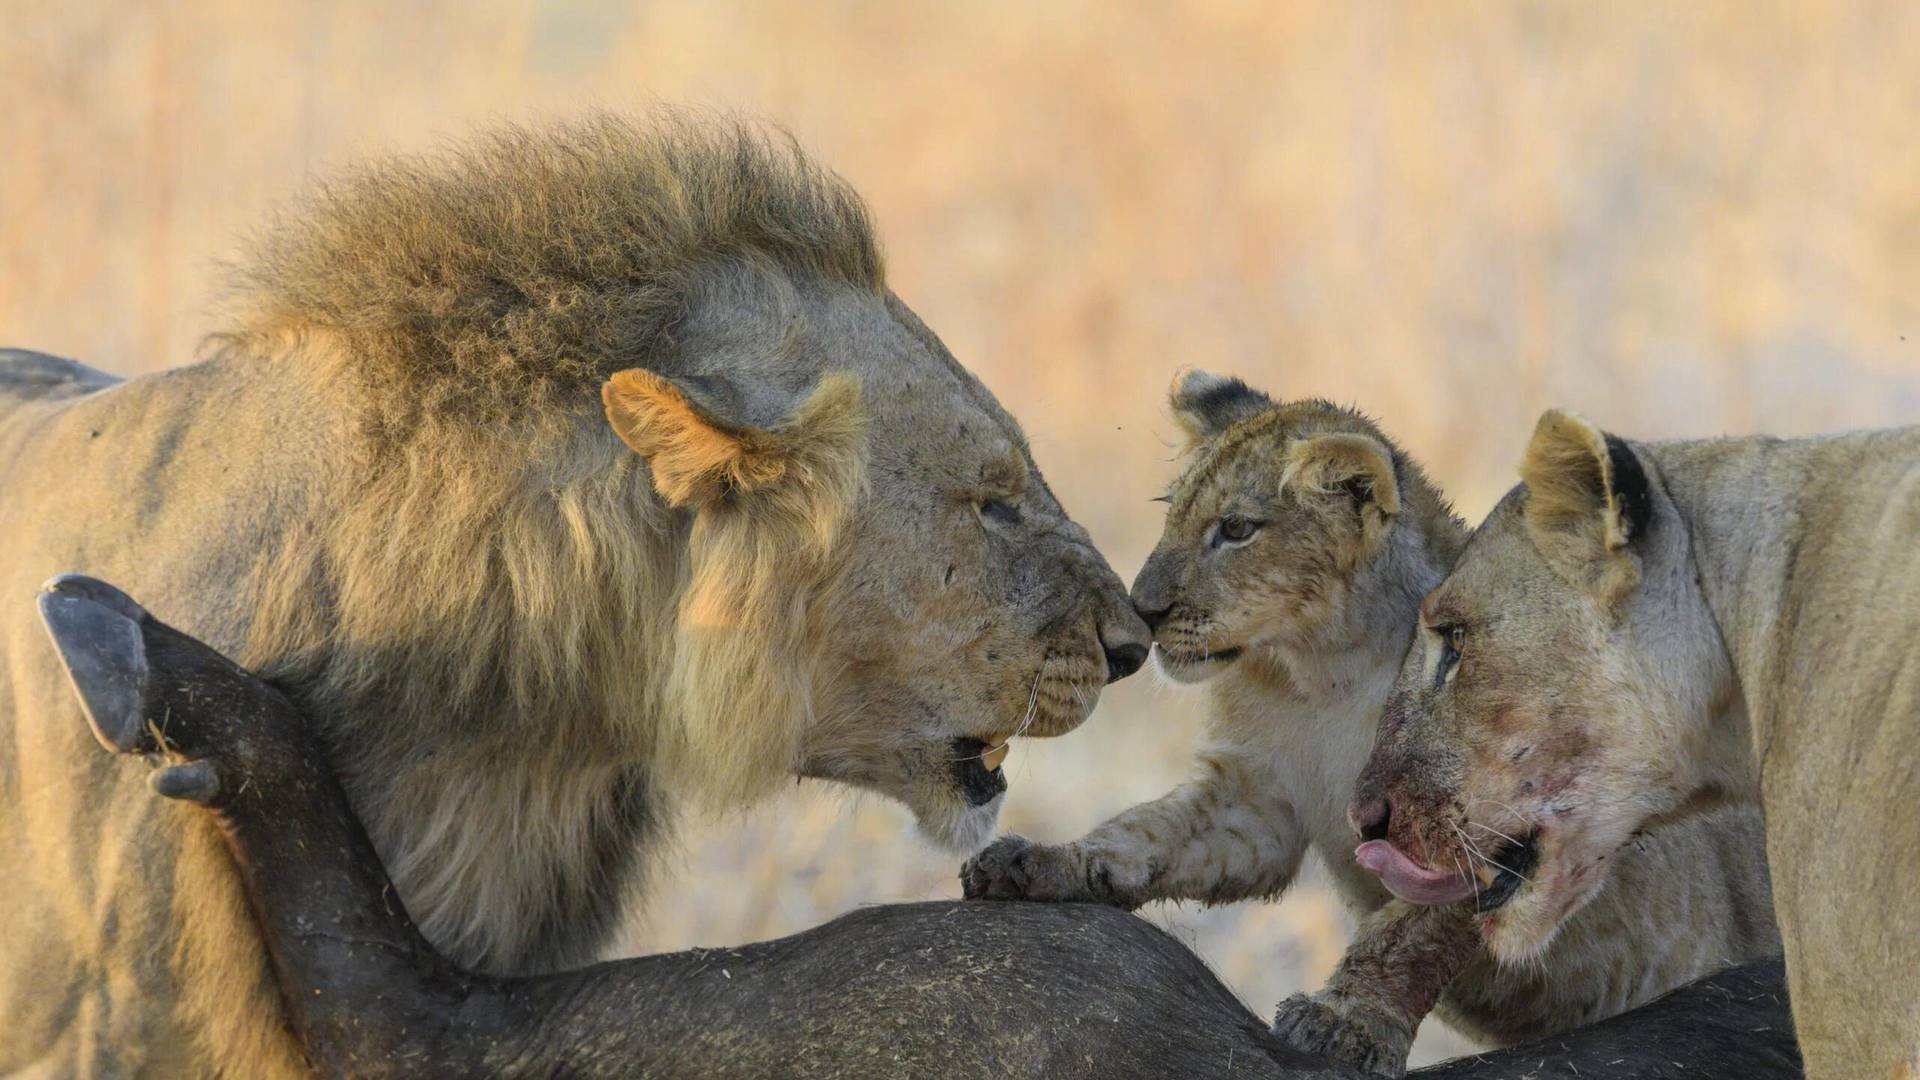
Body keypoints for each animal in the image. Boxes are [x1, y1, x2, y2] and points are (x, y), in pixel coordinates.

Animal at [964, 373, 1779, 1076]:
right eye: (1174, 514)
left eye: (1236, 529)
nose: (1146, 609)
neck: (1321, 672)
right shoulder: (1254, 801)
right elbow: (1144, 833)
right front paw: (1043, 862)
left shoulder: (1488, 811)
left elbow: (1406, 934)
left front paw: (1344, 1021)